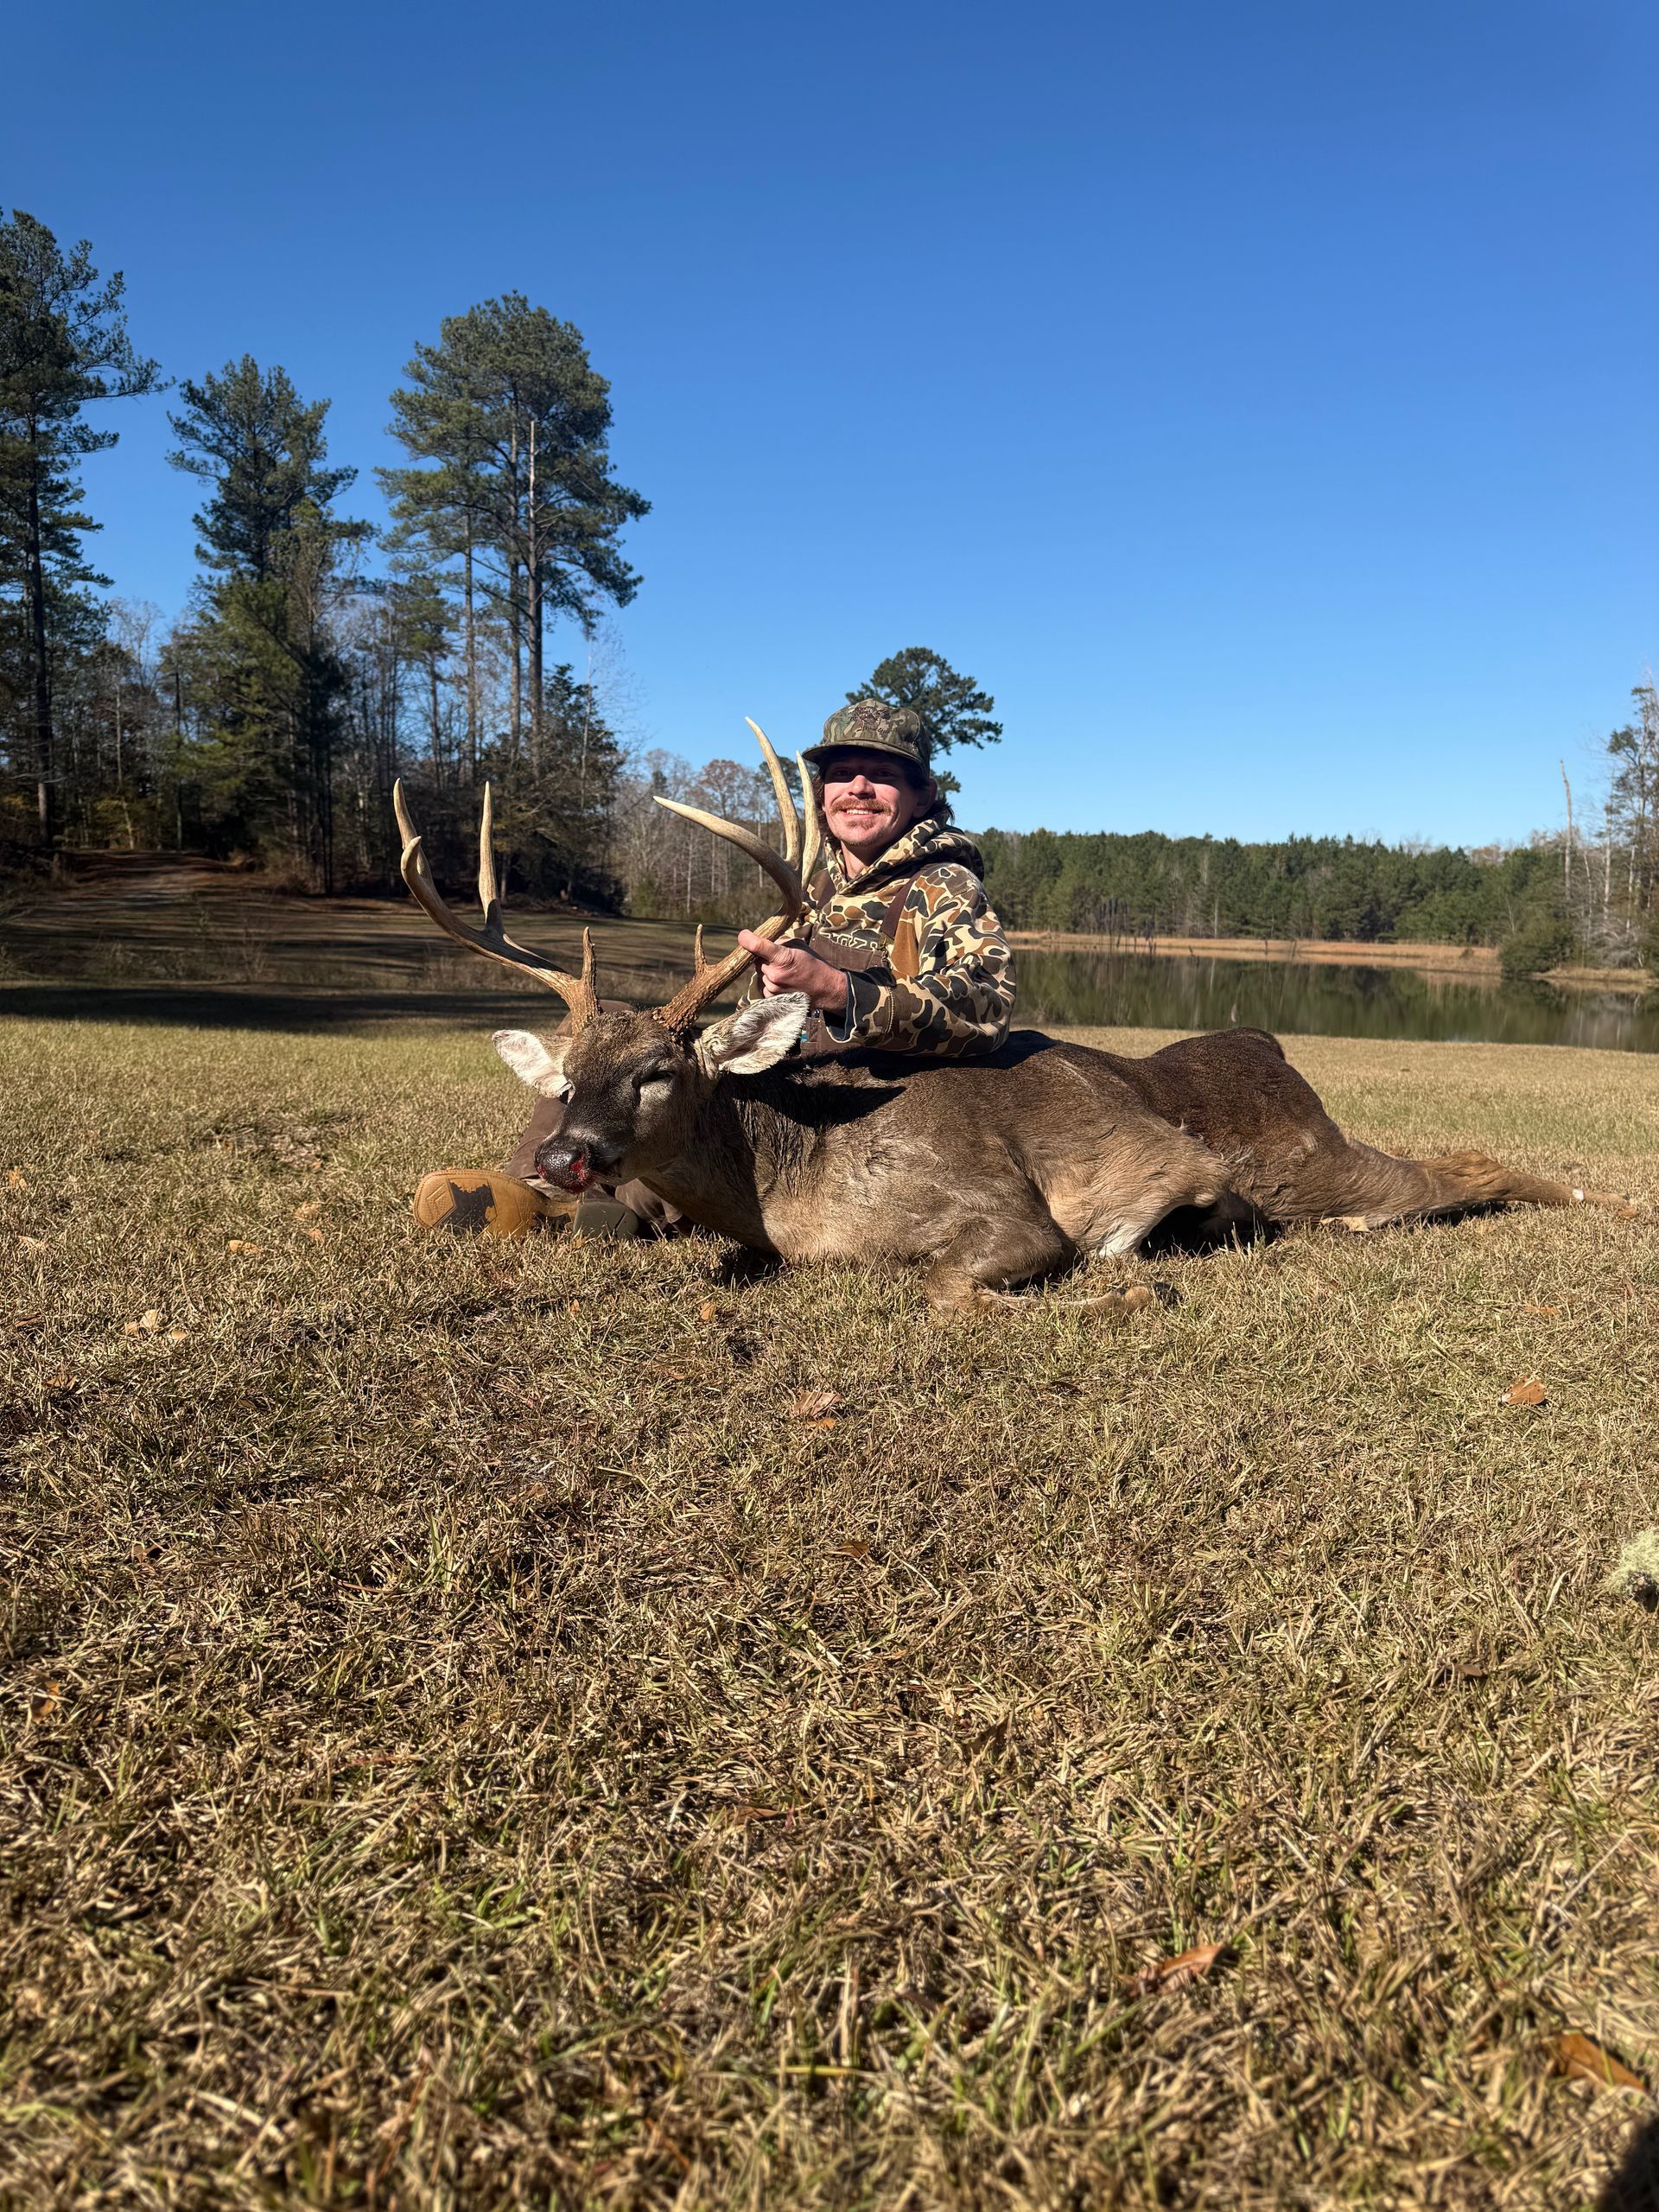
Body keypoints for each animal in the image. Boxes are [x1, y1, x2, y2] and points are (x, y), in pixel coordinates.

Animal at [393, 730, 1618, 1315]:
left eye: (656, 1068)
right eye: (564, 1074)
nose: (561, 1156)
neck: (787, 1182)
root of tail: (1272, 1048)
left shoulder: (1001, 1212)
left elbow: (947, 1286)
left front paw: (1115, 1288)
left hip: (1311, 1164)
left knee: (1448, 1171)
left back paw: (1575, 1193)